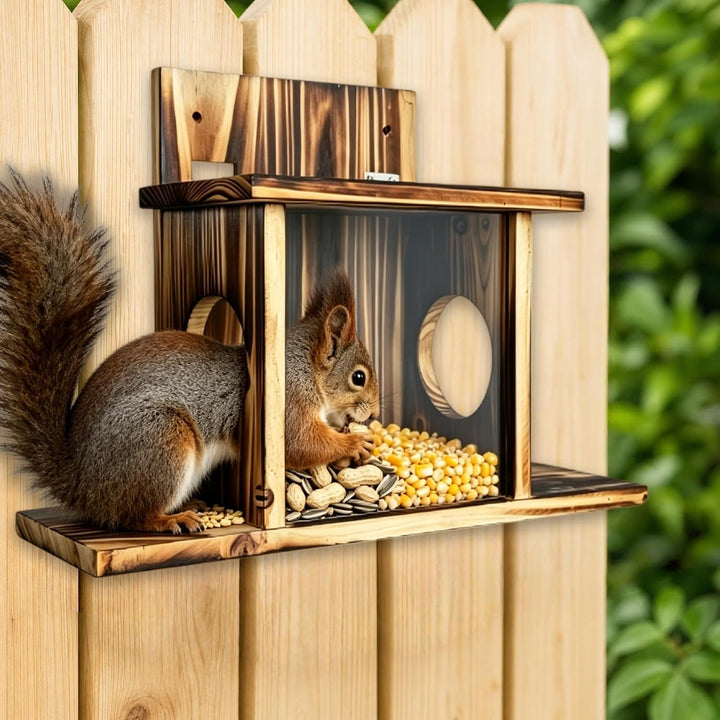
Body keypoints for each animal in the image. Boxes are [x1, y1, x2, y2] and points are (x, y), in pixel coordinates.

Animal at [0, 171, 378, 533]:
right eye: (358, 377)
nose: (374, 413)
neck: (305, 369)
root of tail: (79, 484)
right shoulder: (288, 402)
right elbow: (300, 444)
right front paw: (353, 445)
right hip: (160, 439)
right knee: (132, 516)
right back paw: (171, 519)